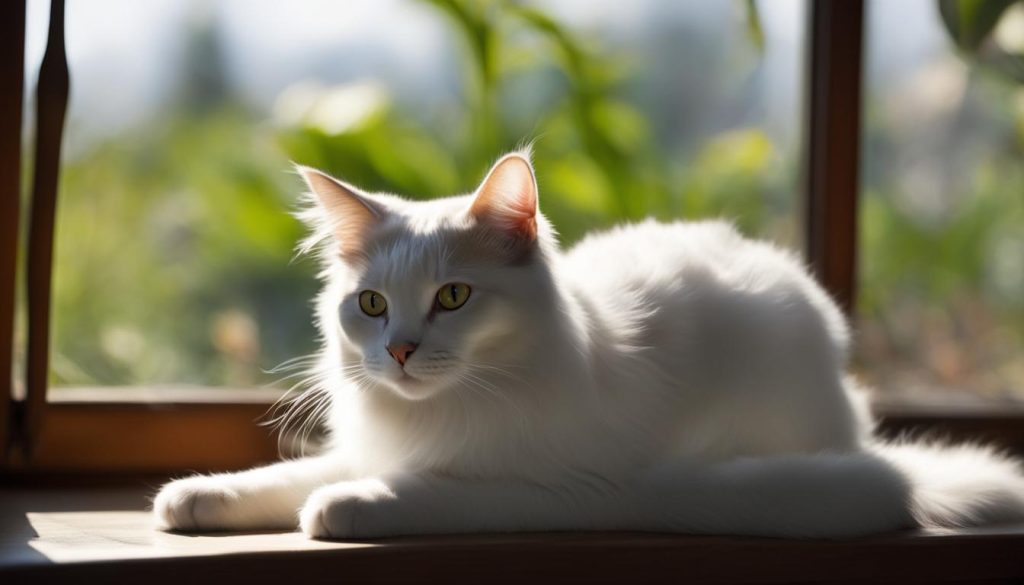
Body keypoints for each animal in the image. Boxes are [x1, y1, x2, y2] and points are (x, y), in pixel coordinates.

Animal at [153, 152, 1024, 540]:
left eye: (453, 297)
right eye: (370, 305)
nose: (396, 351)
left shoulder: (570, 487)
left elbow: (422, 491)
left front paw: (346, 507)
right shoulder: (375, 444)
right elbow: (284, 475)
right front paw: (196, 495)